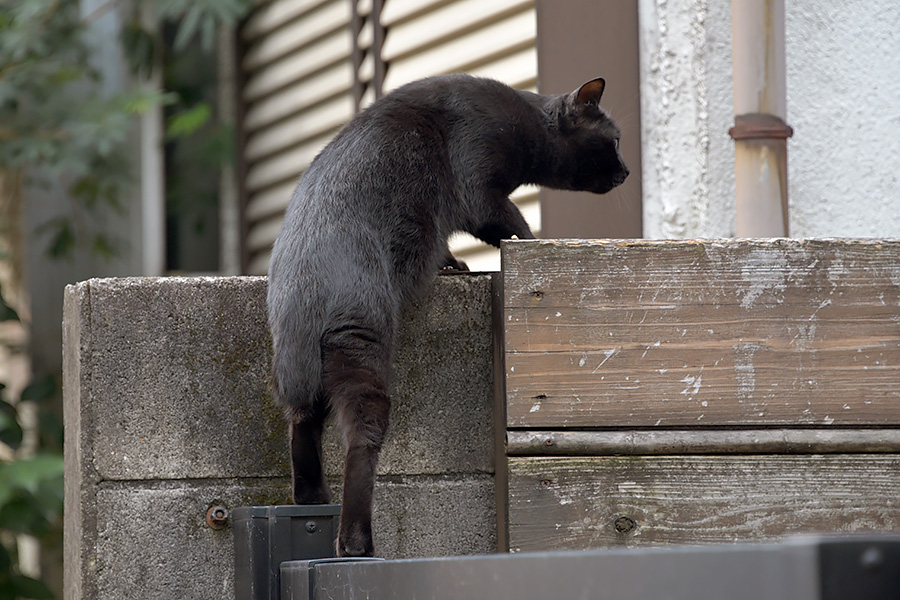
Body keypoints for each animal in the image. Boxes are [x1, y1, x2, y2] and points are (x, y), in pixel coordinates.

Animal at [268, 75, 624, 556]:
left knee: (302, 423)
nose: (626, 170)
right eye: (616, 140)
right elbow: (510, 223)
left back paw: (311, 499)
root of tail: (298, 283)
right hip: (360, 347)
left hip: (310, 373)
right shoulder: (479, 188)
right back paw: (356, 540)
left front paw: (454, 265)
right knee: (361, 440)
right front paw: (530, 243)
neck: (526, 123)